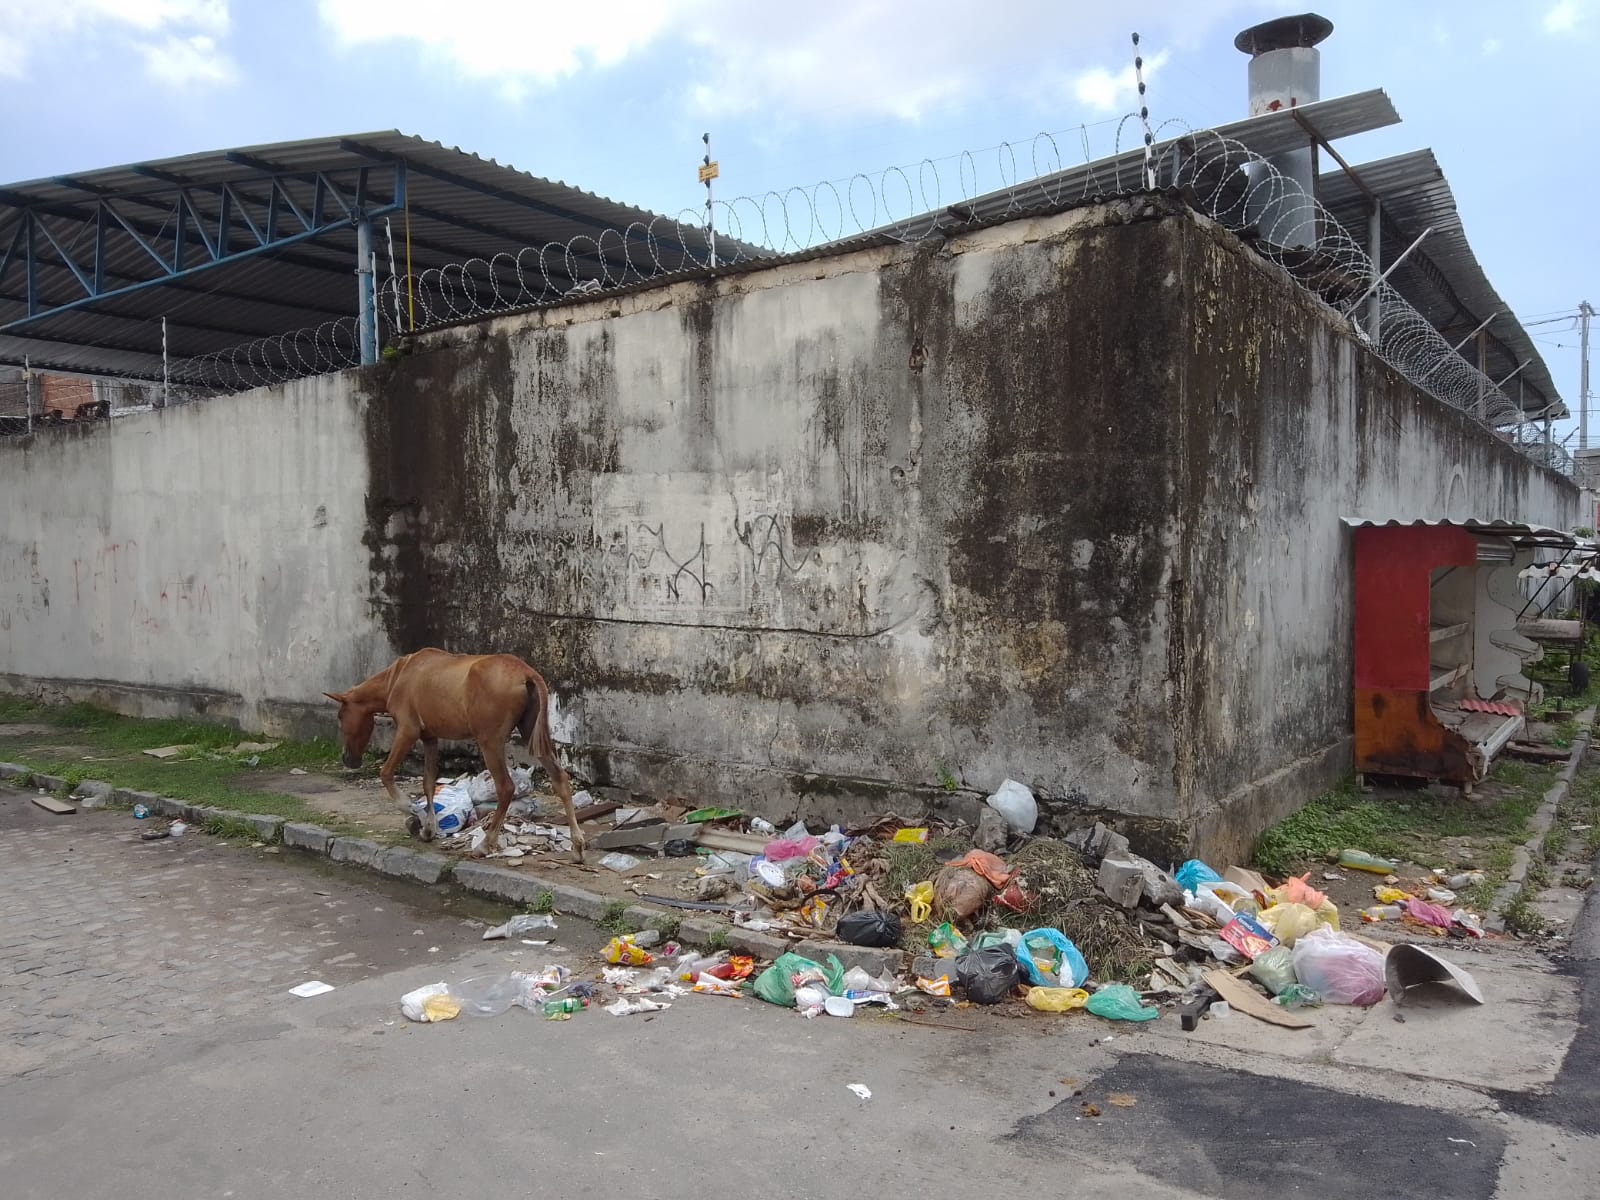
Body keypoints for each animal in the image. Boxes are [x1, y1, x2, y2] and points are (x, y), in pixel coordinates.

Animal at [321, 652, 585, 857]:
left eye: (341, 716)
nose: (348, 759)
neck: (398, 677)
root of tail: (526, 673)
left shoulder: (408, 730)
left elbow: (386, 773)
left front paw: (412, 811)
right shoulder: (429, 737)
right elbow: (428, 782)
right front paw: (428, 828)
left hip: (490, 742)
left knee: (506, 787)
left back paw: (485, 844)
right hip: (532, 734)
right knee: (560, 779)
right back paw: (578, 846)